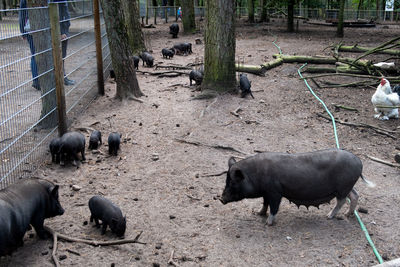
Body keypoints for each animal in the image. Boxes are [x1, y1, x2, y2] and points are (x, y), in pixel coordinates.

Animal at [220, 150, 376, 227]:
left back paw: (329, 216)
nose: (221, 199)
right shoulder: (266, 193)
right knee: (355, 195)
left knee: (342, 201)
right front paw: (258, 213)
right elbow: (265, 203)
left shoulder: (275, 192)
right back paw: (347, 215)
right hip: (346, 187)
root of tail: (359, 162)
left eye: (233, 183)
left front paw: (268, 223)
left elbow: (274, 207)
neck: (256, 175)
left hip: (343, 187)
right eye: (226, 181)